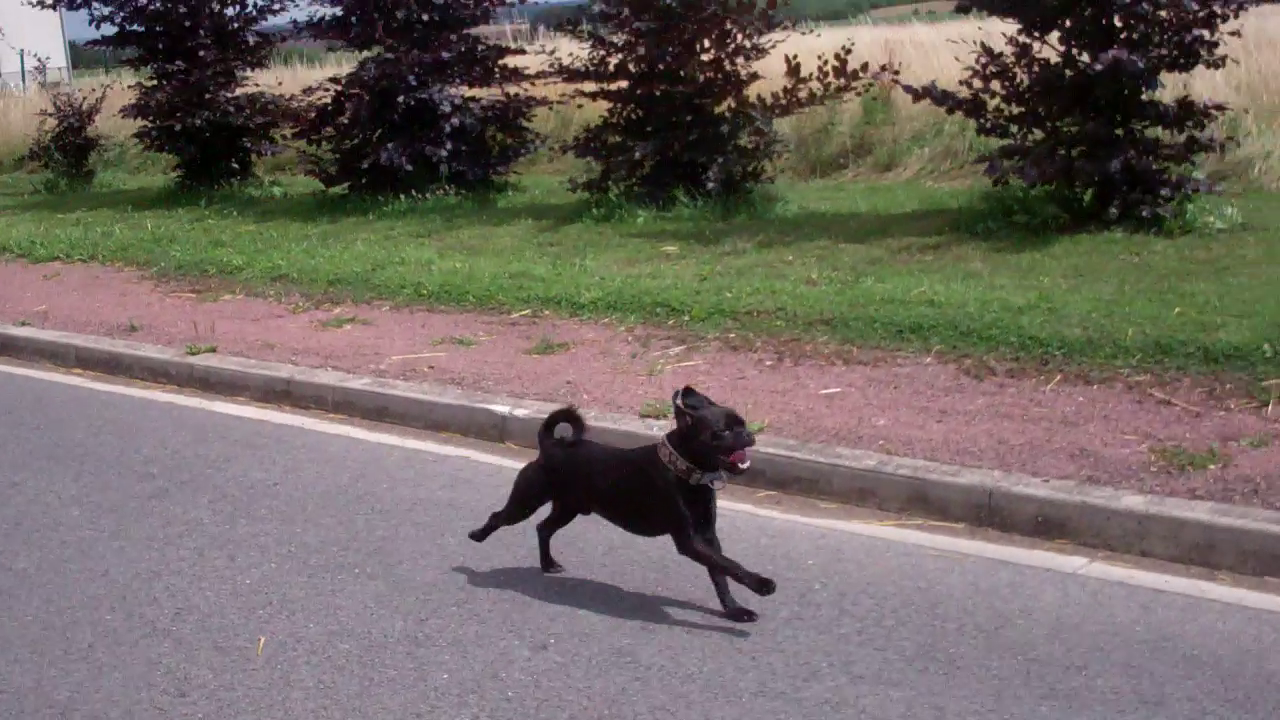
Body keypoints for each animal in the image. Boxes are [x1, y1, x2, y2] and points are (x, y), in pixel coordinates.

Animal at [467, 385, 776, 623]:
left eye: (743, 423)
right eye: (722, 431)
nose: (749, 435)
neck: (684, 469)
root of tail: (550, 446)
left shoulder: (708, 537)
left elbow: (721, 572)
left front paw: (734, 610)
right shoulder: (691, 541)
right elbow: (730, 565)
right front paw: (762, 584)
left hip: (568, 509)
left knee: (543, 528)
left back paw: (547, 564)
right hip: (526, 502)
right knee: (498, 517)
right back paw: (477, 536)